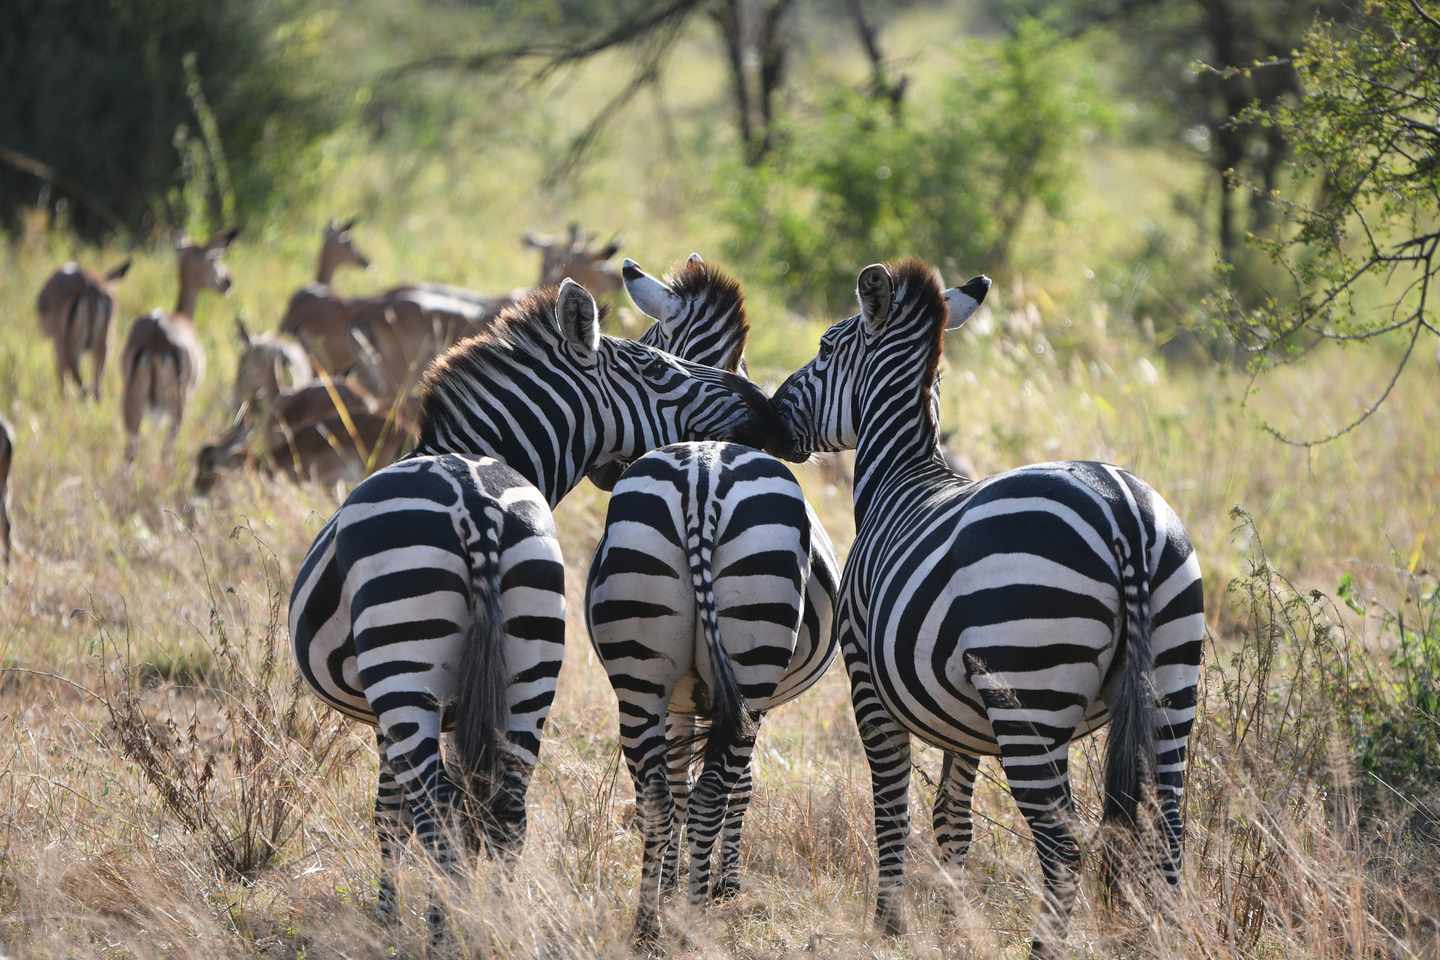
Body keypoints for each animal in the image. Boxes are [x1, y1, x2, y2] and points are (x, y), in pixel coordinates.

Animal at [288, 279, 776, 949]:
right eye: (654, 367)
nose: (763, 408)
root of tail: (472, 503)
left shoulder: (392, 710)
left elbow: (390, 815)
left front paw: (386, 918)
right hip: (533, 664)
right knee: (505, 814)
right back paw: (493, 928)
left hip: (406, 672)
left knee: (437, 813)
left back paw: (445, 937)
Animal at [584, 256, 839, 944]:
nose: (601, 471)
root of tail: (702, 479)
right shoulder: (750, 701)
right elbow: (740, 783)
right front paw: (720, 883)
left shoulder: (681, 693)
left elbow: (676, 785)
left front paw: (677, 883)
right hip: (748, 664)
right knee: (710, 789)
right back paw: (693, 914)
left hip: (642, 670)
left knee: (657, 794)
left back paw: (650, 922)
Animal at [770, 259, 1205, 959]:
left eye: (825, 349)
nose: (773, 414)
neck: (901, 477)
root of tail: (1122, 511)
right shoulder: (965, 718)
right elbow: (952, 821)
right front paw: (953, 925)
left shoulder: (866, 682)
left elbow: (891, 807)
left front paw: (890, 924)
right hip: (1172, 678)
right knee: (1168, 833)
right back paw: (1161, 939)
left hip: (1031, 692)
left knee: (1064, 847)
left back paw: (1043, 949)